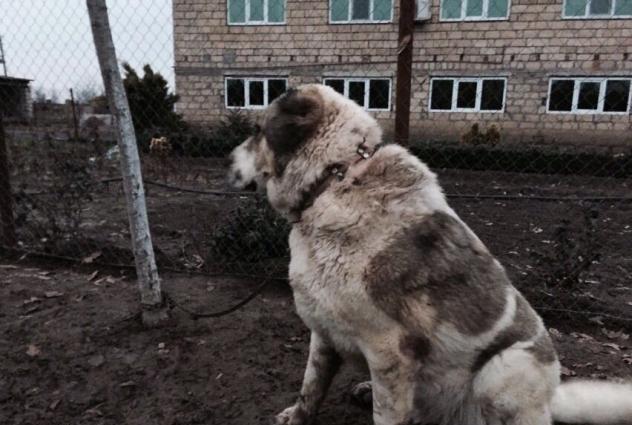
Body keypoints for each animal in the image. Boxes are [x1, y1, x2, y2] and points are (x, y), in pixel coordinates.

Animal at [228, 84, 632, 425]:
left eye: (258, 131)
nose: (228, 161)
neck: (334, 179)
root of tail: (551, 399)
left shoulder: (389, 350)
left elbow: (384, 416)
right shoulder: (324, 331)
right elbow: (311, 386)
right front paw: (296, 416)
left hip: (503, 367)